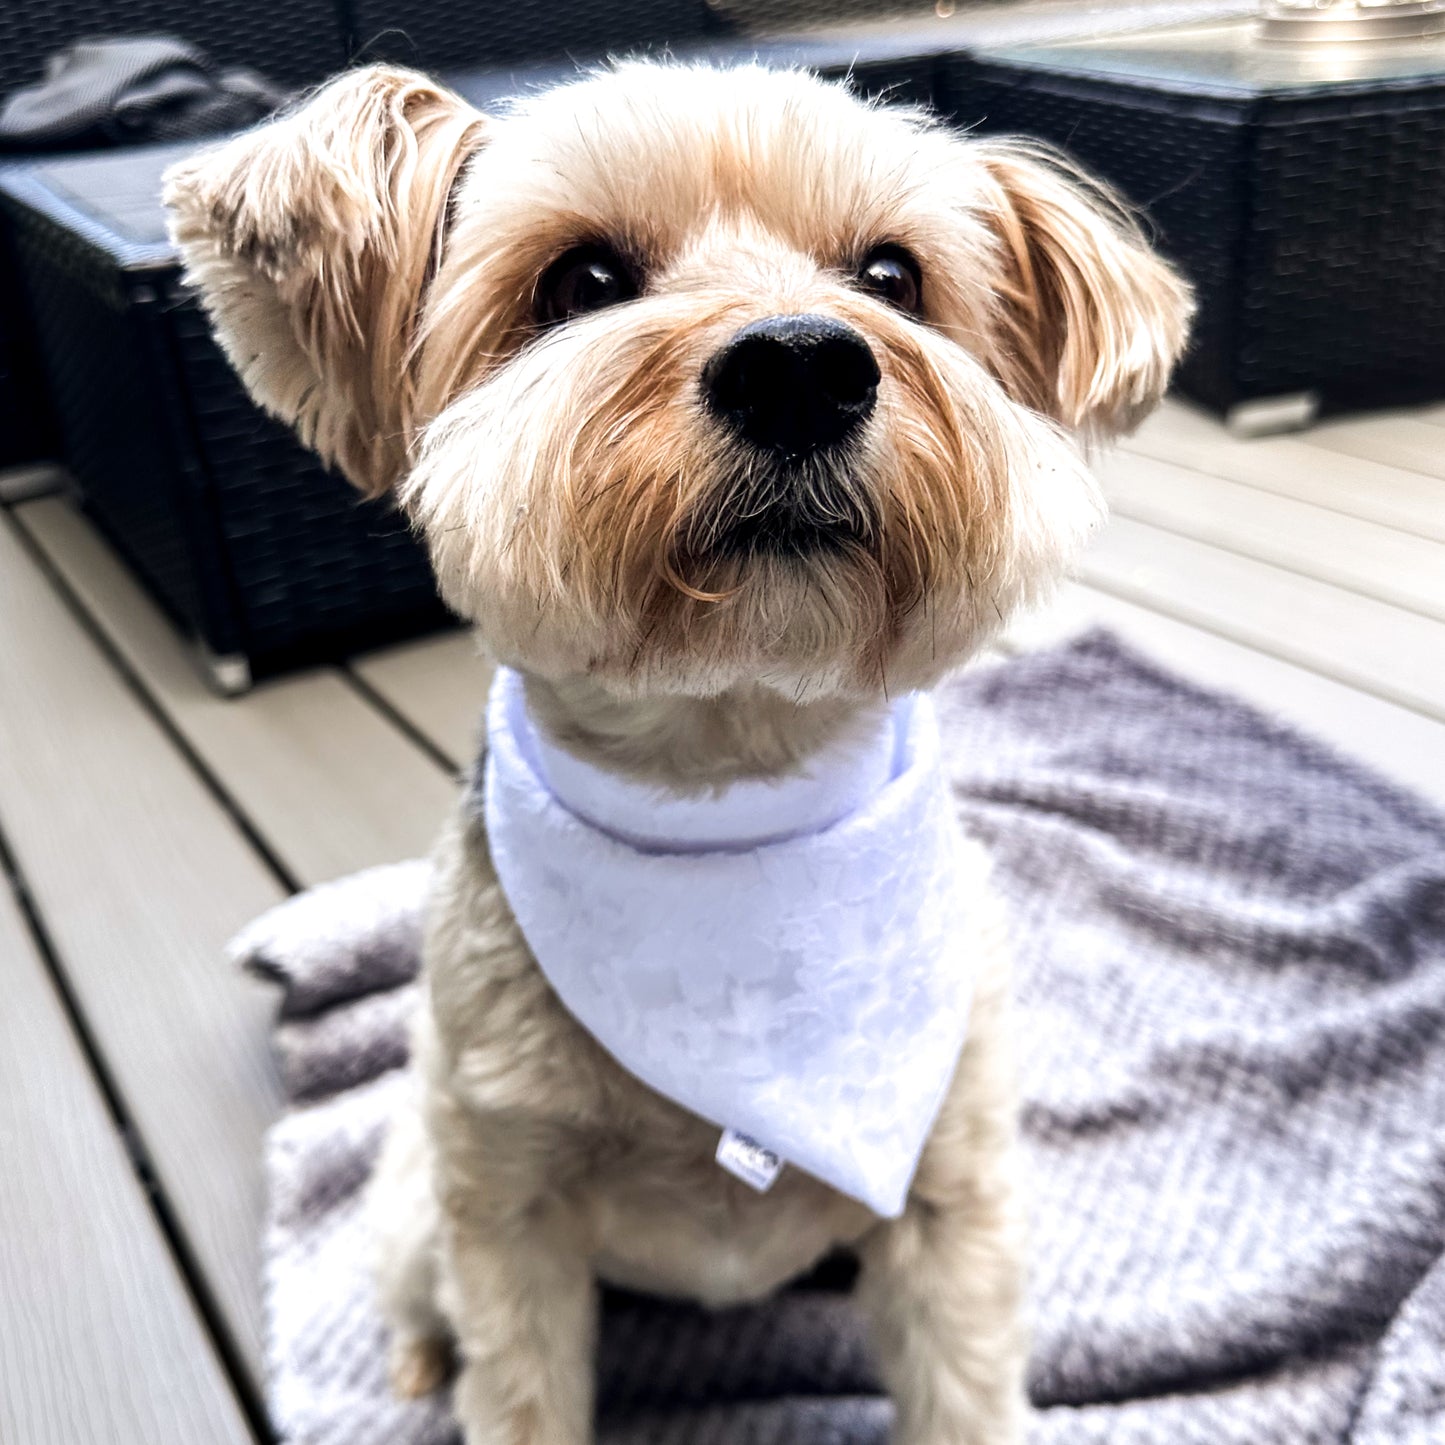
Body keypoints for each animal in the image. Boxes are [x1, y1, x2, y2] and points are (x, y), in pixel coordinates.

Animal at [166, 62, 1184, 1445]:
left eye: (892, 275)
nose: (802, 367)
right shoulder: (506, 1212)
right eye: (581, 280)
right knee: (411, 1287)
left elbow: (962, 1384)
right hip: (416, 1201)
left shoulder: (948, 1189)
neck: (727, 783)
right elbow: (517, 1385)